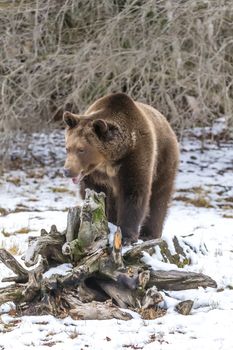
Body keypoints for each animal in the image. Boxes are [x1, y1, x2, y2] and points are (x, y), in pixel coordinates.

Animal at [62, 92, 179, 243]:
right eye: (68, 148)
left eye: (81, 149)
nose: (67, 171)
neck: (109, 160)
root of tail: (167, 123)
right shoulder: (96, 175)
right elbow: (95, 193)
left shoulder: (134, 156)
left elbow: (134, 192)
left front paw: (126, 235)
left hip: (164, 158)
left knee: (160, 194)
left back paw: (150, 233)